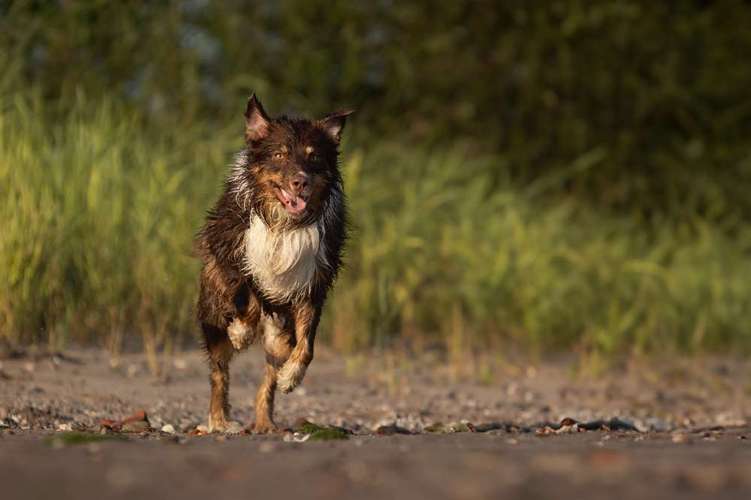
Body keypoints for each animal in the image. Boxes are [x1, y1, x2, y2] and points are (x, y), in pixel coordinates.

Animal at [198, 94, 354, 434]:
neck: (284, 223)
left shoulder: (313, 282)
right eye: (279, 154)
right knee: (219, 372)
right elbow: (247, 293)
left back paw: (265, 420)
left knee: (271, 366)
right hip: (213, 311)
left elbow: (306, 344)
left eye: (313, 157)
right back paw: (219, 419)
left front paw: (291, 378)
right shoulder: (230, 253)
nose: (301, 182)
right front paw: (241, 331)